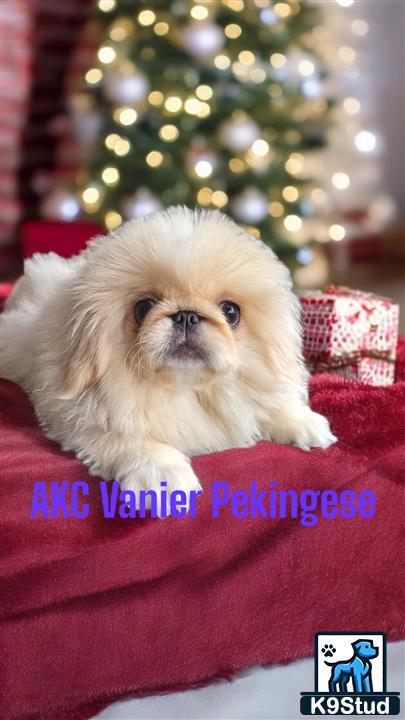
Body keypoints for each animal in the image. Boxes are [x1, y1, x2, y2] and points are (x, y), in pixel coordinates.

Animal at [0, 207, 334, 512]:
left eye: (230, 312)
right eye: (143, 308)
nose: (186, 315)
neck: (186, 388)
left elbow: (267, 403)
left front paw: (302, 421)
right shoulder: (78, 417)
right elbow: (128, 437)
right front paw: (161, 475)